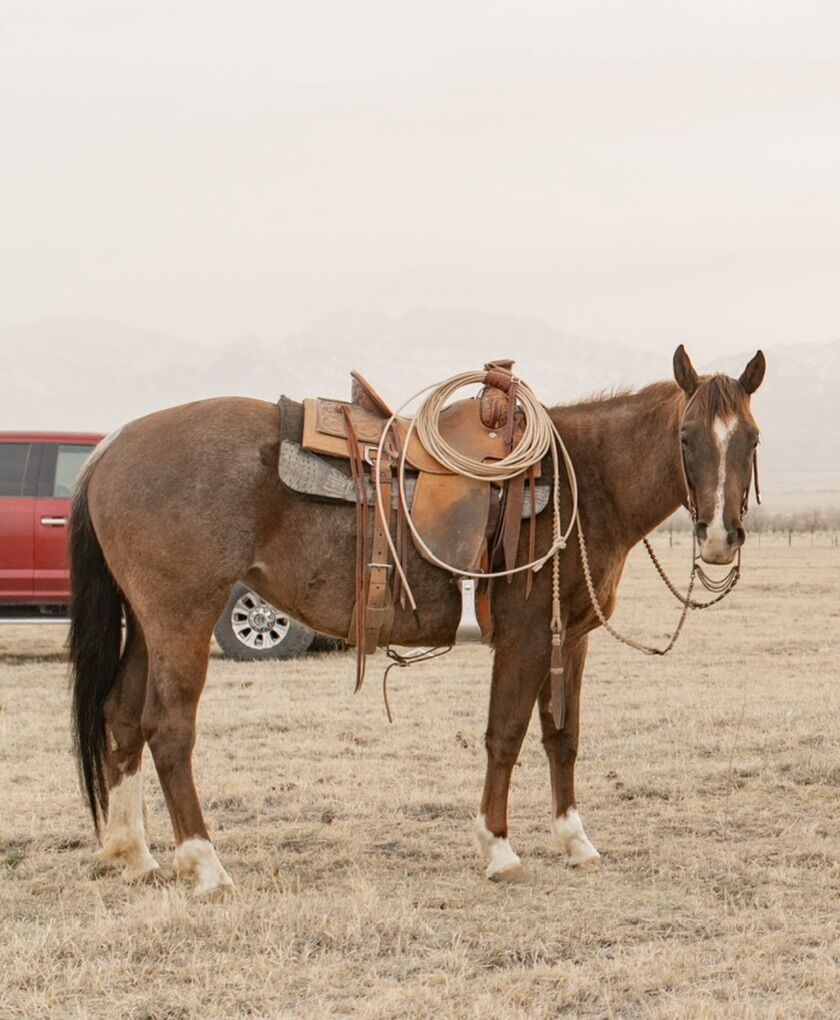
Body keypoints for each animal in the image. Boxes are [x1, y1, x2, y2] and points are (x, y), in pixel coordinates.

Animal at [69, 345, 765, 894]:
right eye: (686, 438)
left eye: (752, 439)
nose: (721, 537)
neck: (583, 481)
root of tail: (112, 445)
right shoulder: (524, 637)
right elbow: (504, 736)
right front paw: (499, 849)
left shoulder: (569, 638)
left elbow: (561, 738)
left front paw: (575, 842)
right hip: (182, 617)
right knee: (169, 728)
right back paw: (206, 864)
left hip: (147, 624)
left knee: (122, 717)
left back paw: (134, 855)